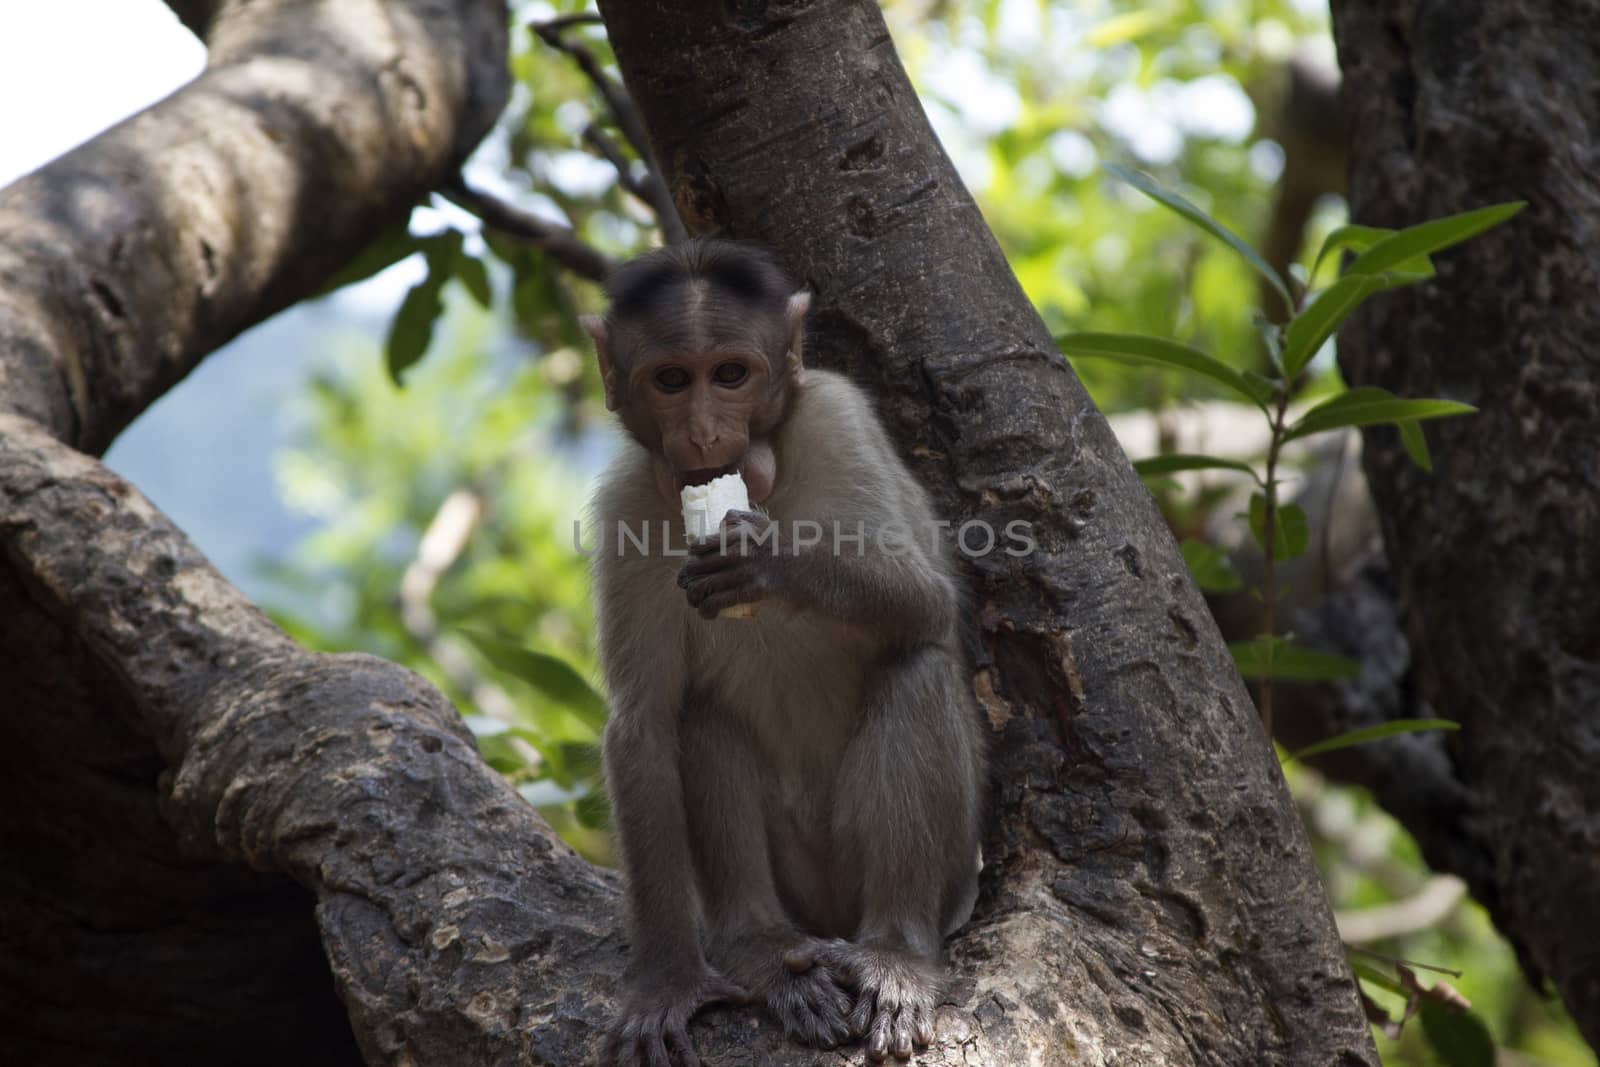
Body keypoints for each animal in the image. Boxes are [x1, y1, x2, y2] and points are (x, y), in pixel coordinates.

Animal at [585, 241, 979, 1067]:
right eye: (673, 380)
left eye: (731, 373)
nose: (706, 436)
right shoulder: (627, 501)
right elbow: (644, 726)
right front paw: (668, 978)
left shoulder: (838, 414)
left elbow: (927, 601)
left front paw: (772, 563)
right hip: (800, 888)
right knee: (700, 717)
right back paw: (760, 949)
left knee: (916, 665)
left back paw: (897, 954)